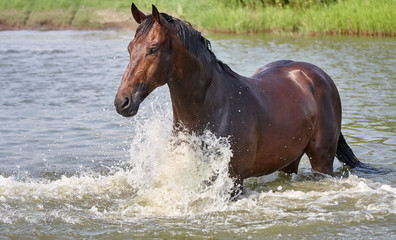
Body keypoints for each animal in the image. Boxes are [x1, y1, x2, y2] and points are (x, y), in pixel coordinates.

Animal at [113, 3, 366, 198]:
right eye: (130, 48)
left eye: (153, 49)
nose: (122, 102)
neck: (213, 110)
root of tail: (318, 75)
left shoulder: (233, 181)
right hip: (289, 160)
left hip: (322, 161)